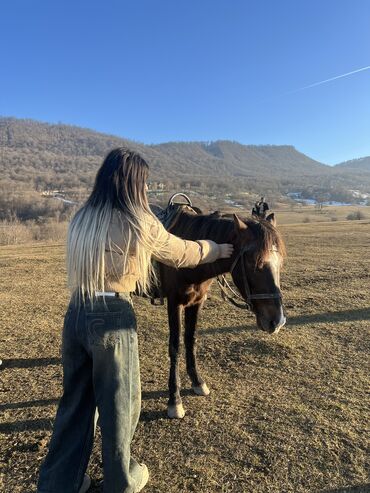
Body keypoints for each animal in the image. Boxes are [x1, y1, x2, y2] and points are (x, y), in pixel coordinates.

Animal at [158, 206, 288, 418]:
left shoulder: (196, 303)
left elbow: (191, 339)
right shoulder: (174, 303)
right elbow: (175, 346)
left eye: (280, 263)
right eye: (254, 263)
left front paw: (197, 382)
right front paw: (174, 400)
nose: (277, 321)